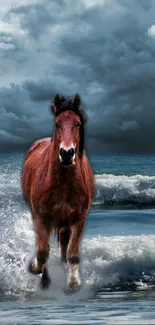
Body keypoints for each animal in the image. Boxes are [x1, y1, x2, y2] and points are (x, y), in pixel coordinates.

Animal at [21, 93, 95, 292]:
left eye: (78, 123)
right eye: (57, 123)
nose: (67, 153)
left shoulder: (79, 218)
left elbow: (73, 253)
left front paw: (73, 283)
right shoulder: (41, 217)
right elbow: (42, 251)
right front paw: (34, 268)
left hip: (65, 223)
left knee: (63, 246)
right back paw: (45, 279)